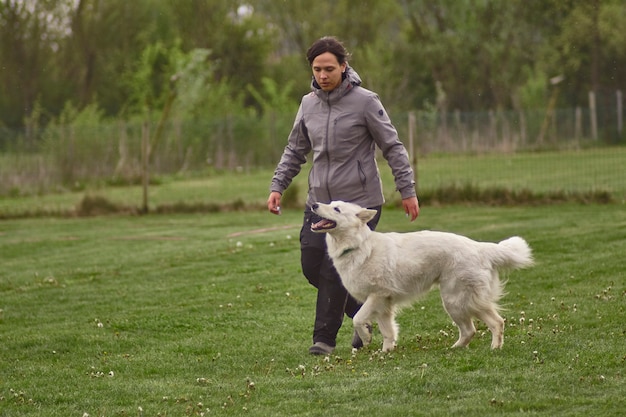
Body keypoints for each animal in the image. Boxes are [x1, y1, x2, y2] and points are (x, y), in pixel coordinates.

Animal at [310, 201, 532, 352]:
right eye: (329, 203)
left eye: (337, 209)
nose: (314, 204)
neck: (358, 245)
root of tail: (479, 247)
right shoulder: (383, 305)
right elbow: (388, 331)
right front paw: (386, 352)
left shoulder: (377, 296)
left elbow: (357, 318)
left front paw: (365, 338)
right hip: (463, 301)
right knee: (483, 326)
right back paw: (465, 348)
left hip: (456, 301)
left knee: (484, 325)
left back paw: (488, 348)